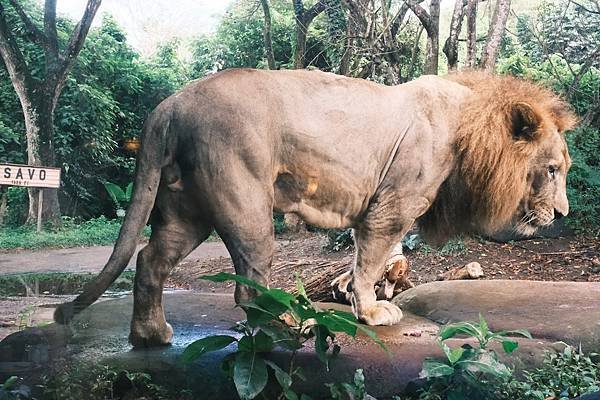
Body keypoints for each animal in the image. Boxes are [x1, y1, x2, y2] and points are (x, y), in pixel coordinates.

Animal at [55, 69, 576, 346]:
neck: (469, 127)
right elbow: (370, 262)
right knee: (248, 286)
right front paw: (372, 311)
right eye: (552, 169)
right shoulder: (392, 204)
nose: (564, 214)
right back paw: (287, 324)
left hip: (188, 208)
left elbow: (376, 261)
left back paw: (150, 334)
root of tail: (170, 103)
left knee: (149, 260)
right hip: (245, 203)